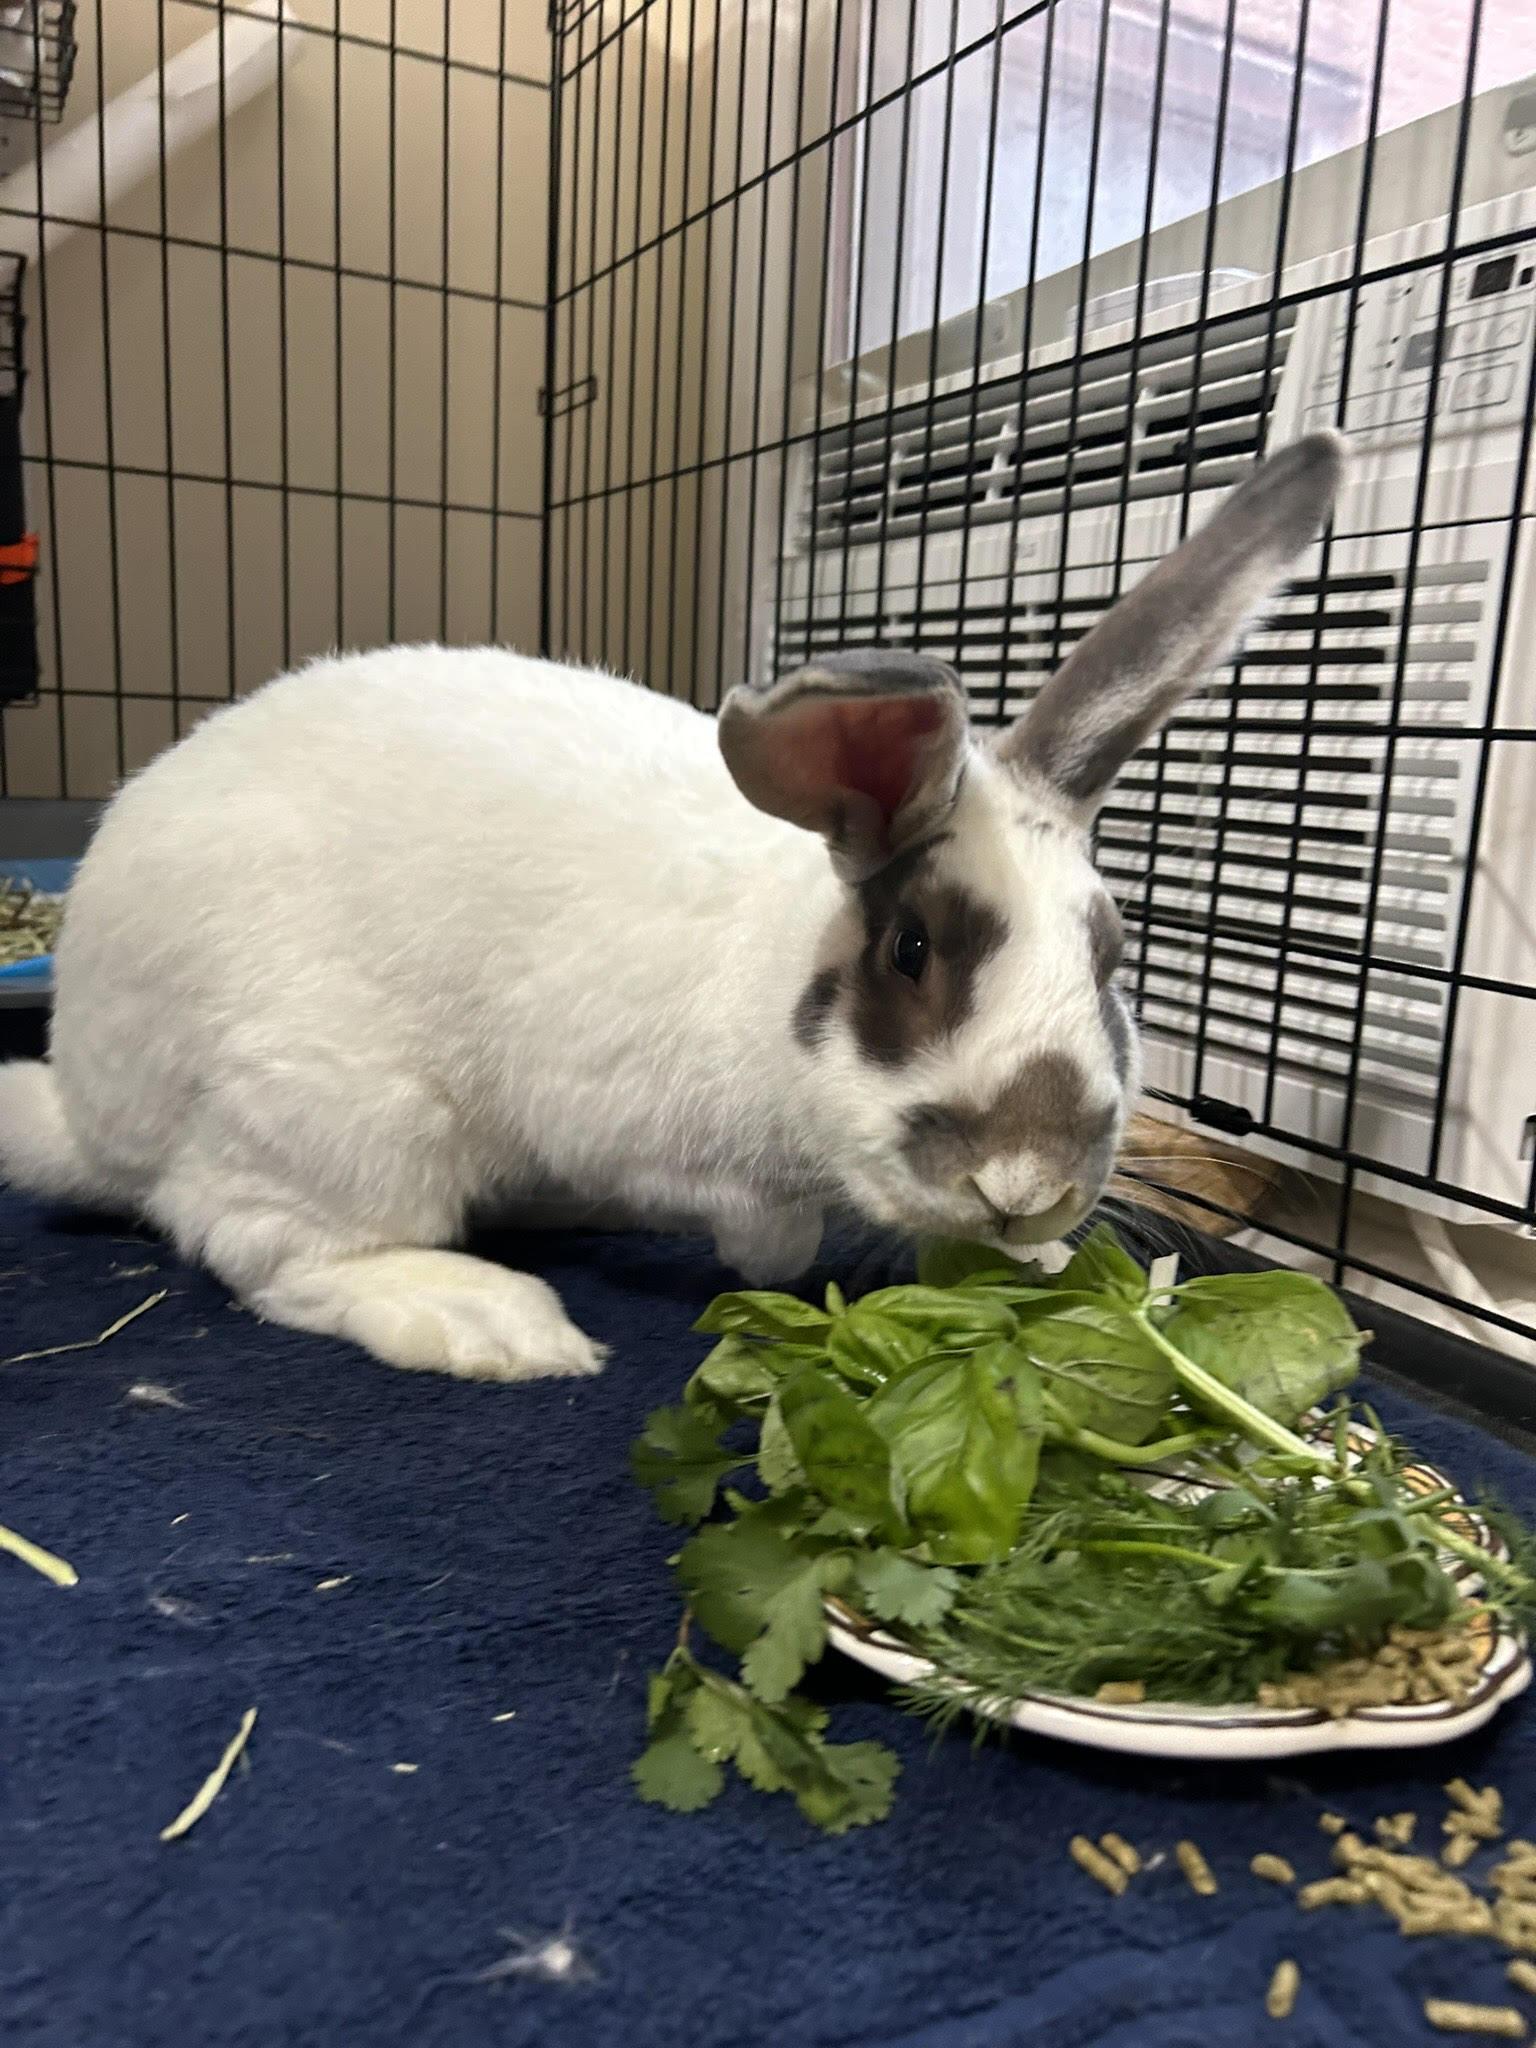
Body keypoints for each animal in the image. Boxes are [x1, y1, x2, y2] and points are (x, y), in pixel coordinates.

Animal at [0, 432, 1343, 1383]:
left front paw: (1045, 1257)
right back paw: (486, 1318)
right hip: (337, 1112)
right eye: (910, 950)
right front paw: (778, 1253)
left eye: (1113, 959)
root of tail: (91, 1100)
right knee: (254, 1239)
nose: (1031, 1184)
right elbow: (768, 1231)